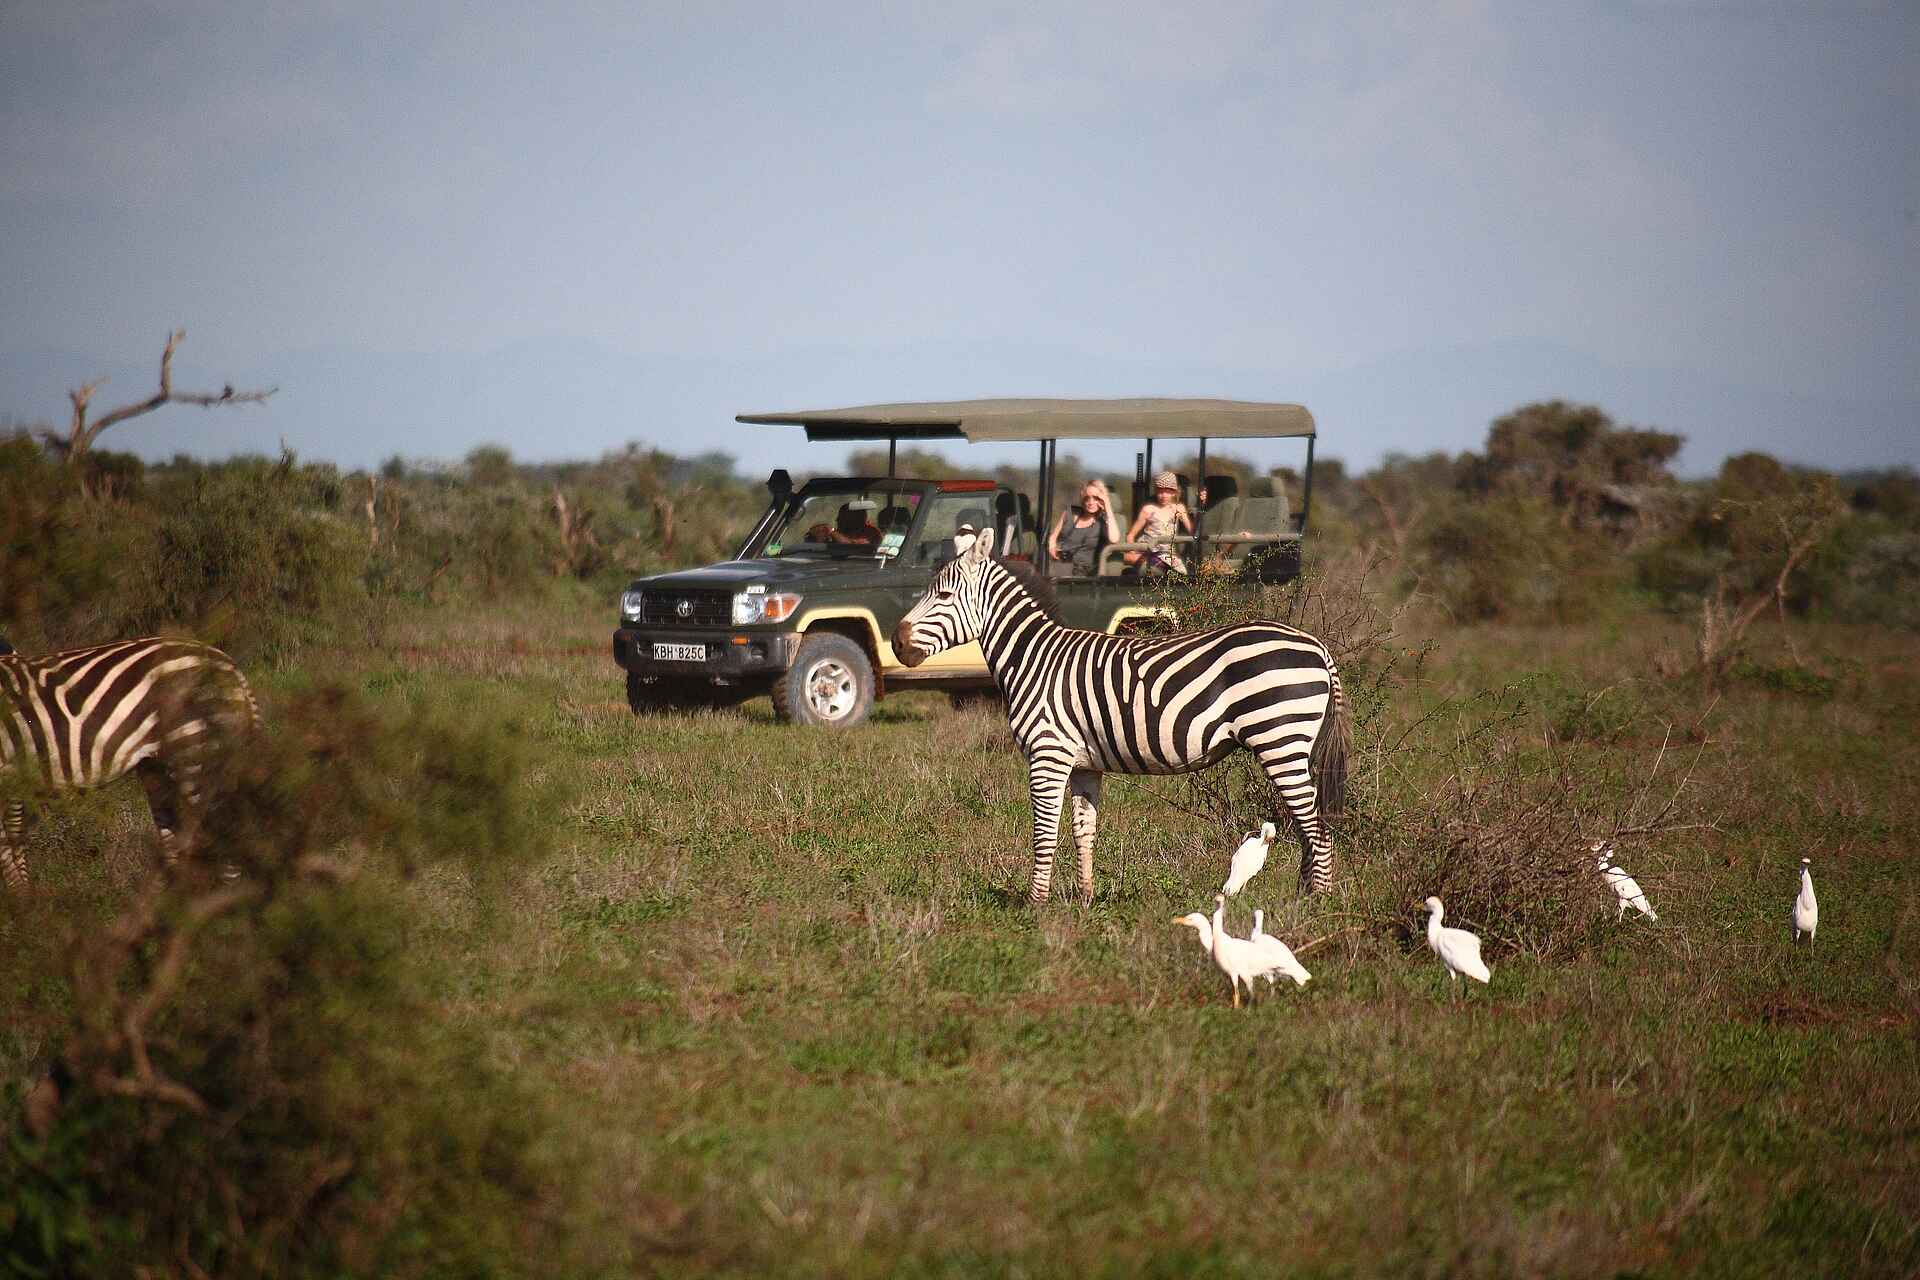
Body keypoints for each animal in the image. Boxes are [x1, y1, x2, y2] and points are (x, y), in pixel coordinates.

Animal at [0, 636, 260, 889]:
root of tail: (228, 664)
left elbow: (8, 850)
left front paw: (23, 900)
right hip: (158, 767)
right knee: (174, 842)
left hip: (196, 752)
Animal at [892, 528, 1349, 905]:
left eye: (943, 597)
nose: (897, 644)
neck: (1035, 659)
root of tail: (1316, 645)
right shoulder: (1083, 764)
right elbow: (1083, 831)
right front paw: (1084, 899)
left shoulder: (1048, 754)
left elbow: (1044, 833)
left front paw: (1036, 905)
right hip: (1294, 744)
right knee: (1310, 823)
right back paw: (1301, 896)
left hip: (1279, 738)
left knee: (1317, 826)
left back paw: (1317, 903)